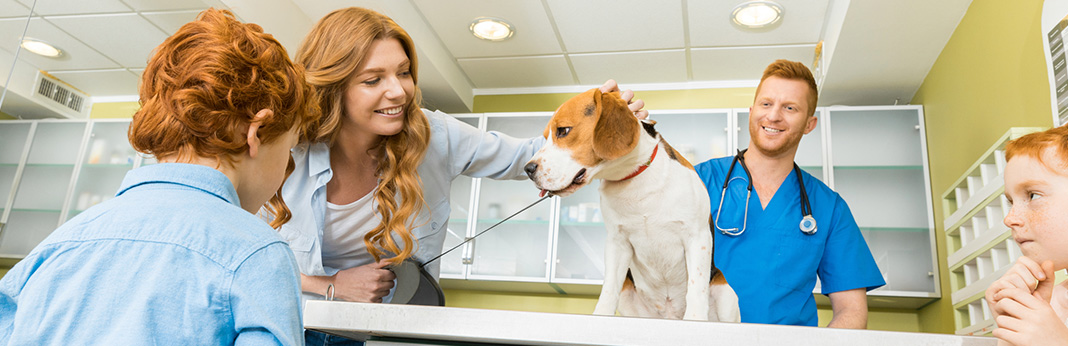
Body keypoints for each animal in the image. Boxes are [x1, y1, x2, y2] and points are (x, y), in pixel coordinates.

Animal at [521, 88, 739, 322]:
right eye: (545, 138)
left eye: (563, 131)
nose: (528, 169)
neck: (635, 179)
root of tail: (669, 316)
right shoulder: (617, 243)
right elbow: (609, 289)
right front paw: (601, 315)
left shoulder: (697, 237)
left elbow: (697, 287)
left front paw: (695, 318)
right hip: (628, 295)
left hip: (726, 294)